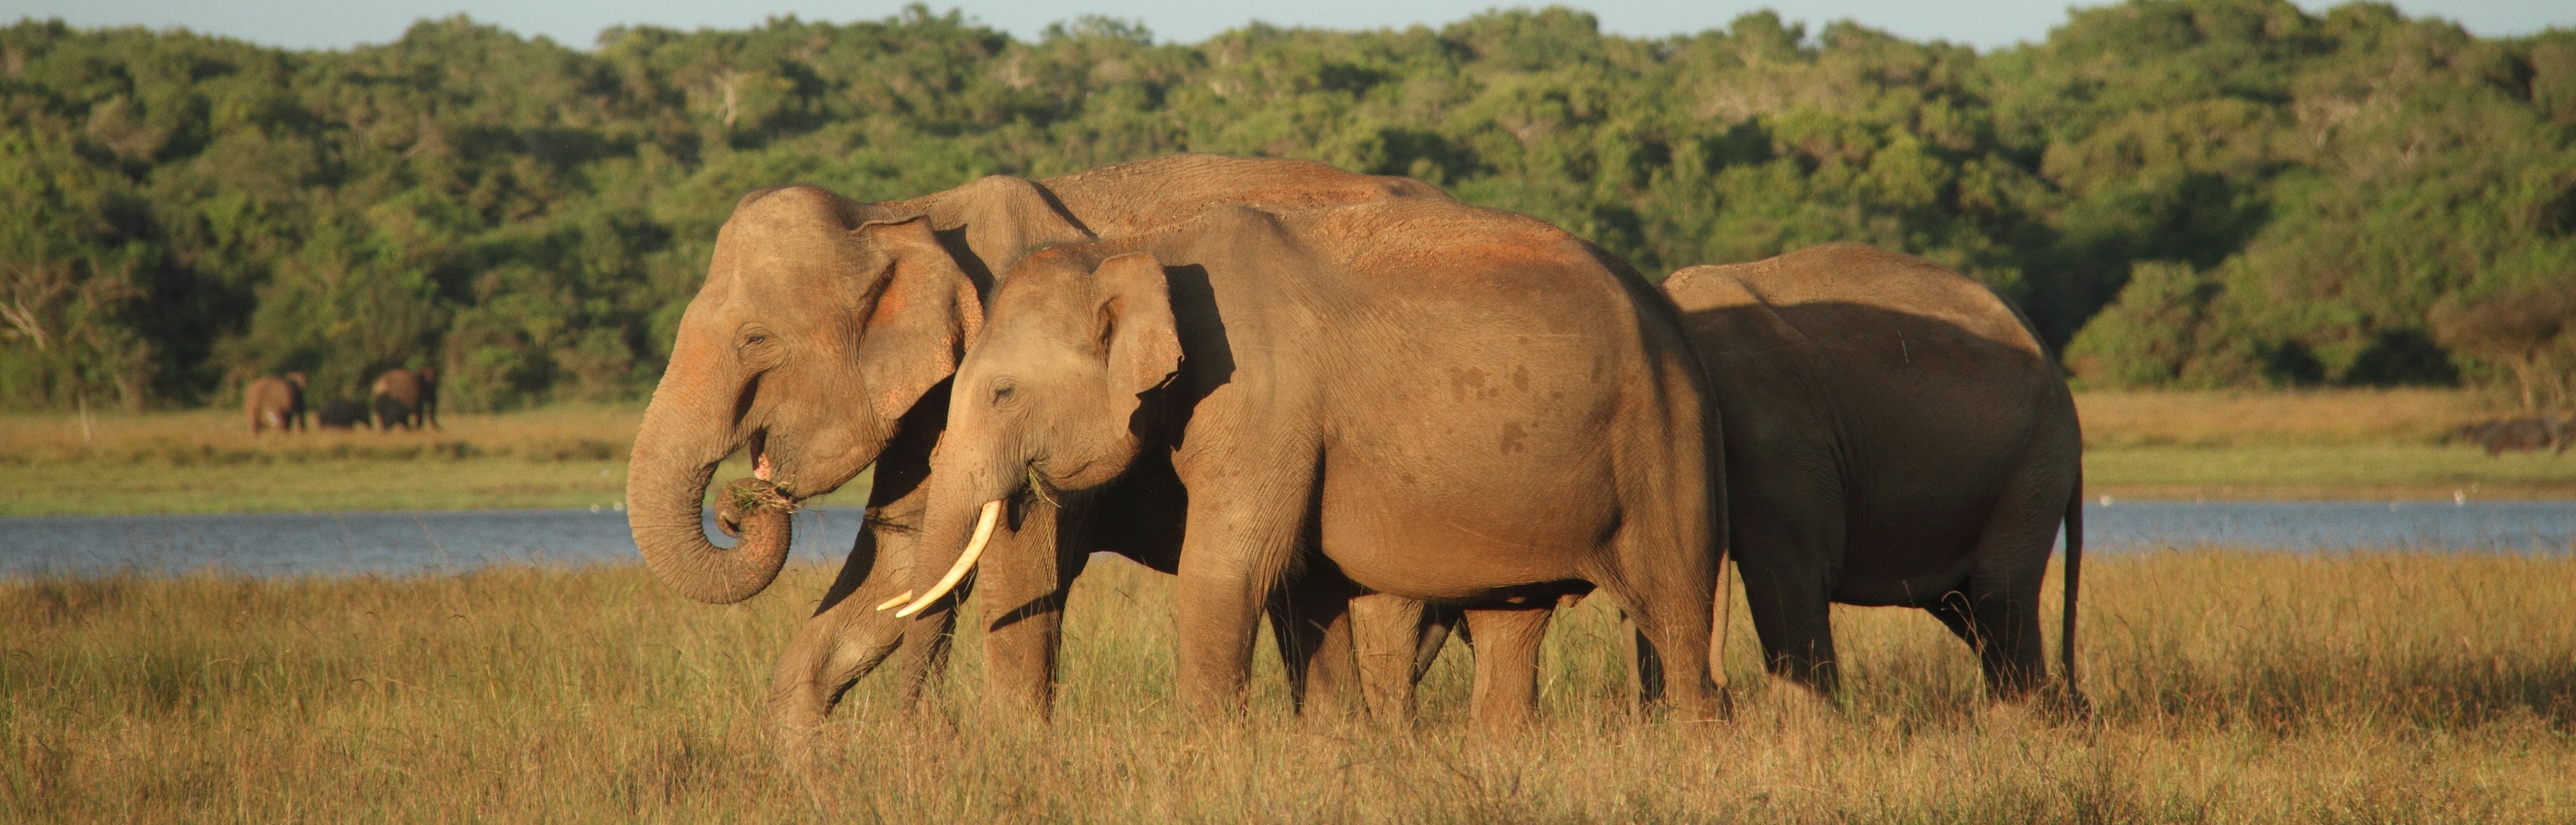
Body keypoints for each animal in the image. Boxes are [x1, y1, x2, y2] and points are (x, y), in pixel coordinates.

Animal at [371, 368, 439, 430]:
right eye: (434, 385)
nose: (438, 427)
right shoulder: (419, 395)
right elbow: (419, 412)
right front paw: (416, 429)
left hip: (378, 404)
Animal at [624, 154, 1456, 764]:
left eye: (754, 341)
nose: (746, 502)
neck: (903, 213)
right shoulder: (935, 410)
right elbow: (904, 559)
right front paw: (811, 770)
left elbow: (1019, 550)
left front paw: (1013, 753)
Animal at [890, 198, 1727, 726]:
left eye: (1001, 392)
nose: (924, 731)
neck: (1144, 247)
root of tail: (1667, 311)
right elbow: (1303, 582)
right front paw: (1335, 743)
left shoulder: (1263, 398)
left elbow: (1233, 567)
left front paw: (1203, 752)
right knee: (1509, 625)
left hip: (1666, 438)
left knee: (1676, 610)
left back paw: (1695, 742)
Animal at [1655, 243, 2085, 708]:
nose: (1724, 683)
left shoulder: (1773, 438)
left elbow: (1793, 573)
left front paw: (1802, 724)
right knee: (1964, 606)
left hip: (2035, 465)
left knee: (1999, 595)